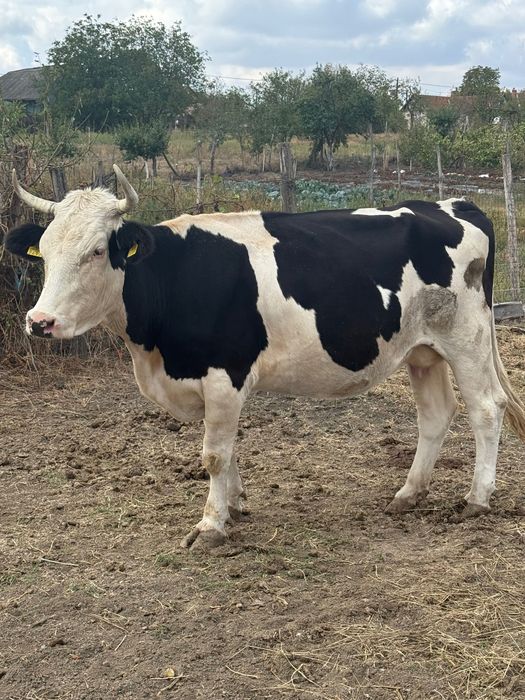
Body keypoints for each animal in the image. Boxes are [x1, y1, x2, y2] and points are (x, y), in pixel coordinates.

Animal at [5, 165, 525, 550]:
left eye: (97, 251)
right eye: (44, 251)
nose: (40, 321)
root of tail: (451, 204)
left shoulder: (224, 373)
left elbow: (214, 454)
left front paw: (211, 525)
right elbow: (227, 448)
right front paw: (234, 505)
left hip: (466, 337)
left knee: (486, 408)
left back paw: (477, 499)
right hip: (422, 349)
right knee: (436, 414)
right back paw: (408, 493)